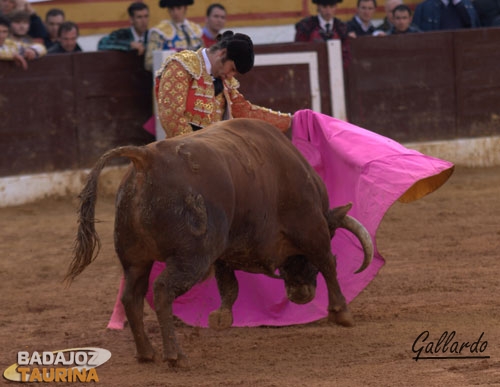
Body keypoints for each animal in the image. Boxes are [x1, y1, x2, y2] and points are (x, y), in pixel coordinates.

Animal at [65, 118, 372, 366]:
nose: (301, 294)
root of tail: (146, 157)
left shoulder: (225, 252)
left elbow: (229, 284)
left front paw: (221, 318)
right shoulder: (312, 228)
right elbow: (328, 262)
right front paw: (342, 314)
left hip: (135, 259)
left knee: (132, 295)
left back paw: (146, 353)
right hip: (192, 258)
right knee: (163, 290)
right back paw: (176, 356)